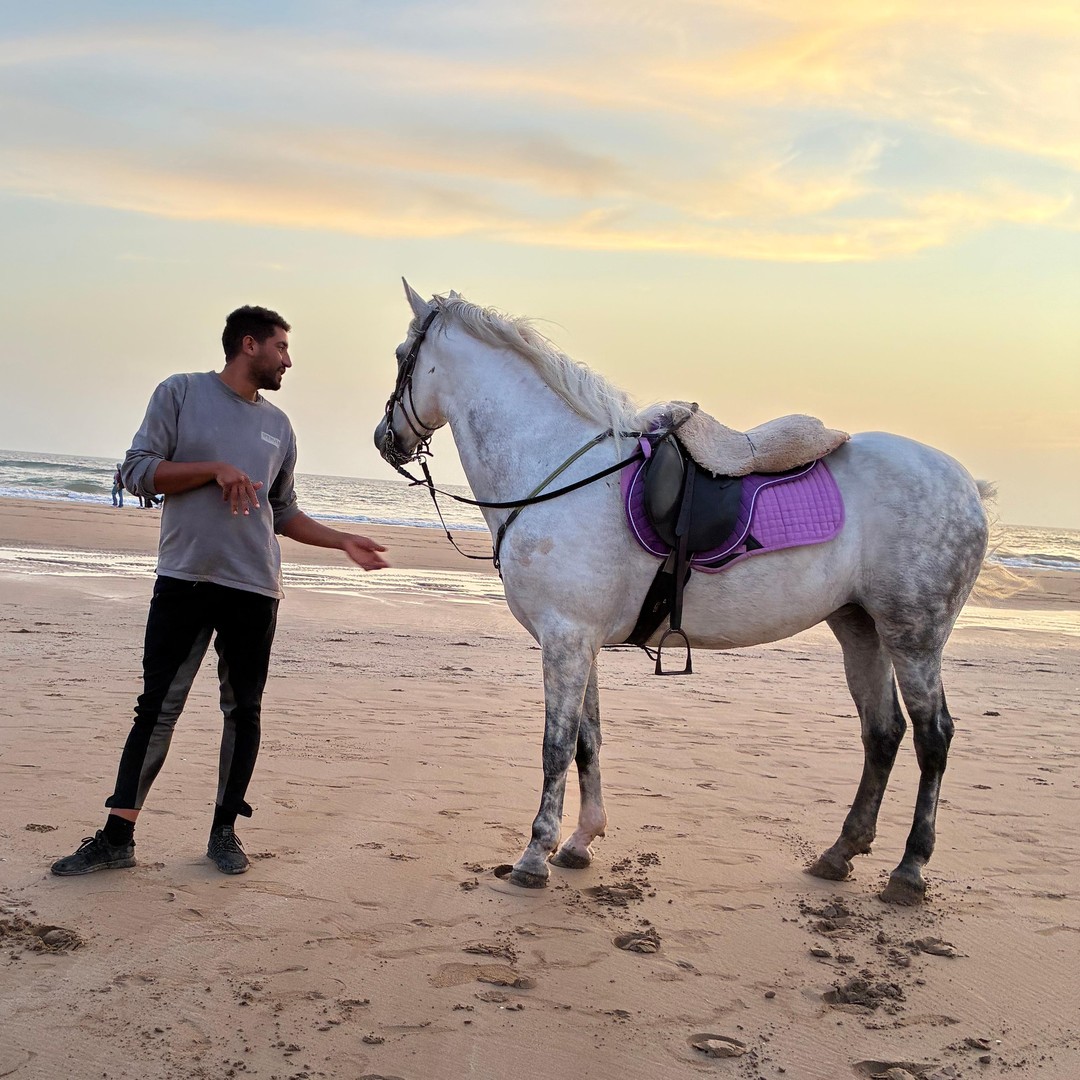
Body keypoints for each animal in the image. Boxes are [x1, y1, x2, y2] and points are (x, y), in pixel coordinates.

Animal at [373, 280, 992, 906]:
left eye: (401, 356)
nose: (385, 440)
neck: (556, 468)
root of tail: (969, 485)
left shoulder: (565, 638)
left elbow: (556, 747)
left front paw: (535, 855)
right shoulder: (579, 642)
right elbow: (587, 742)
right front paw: (580, 841)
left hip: (914, 637)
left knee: (932, 737)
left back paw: (909, 869)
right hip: (859, 627)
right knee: (882, 733)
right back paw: (839, 853)